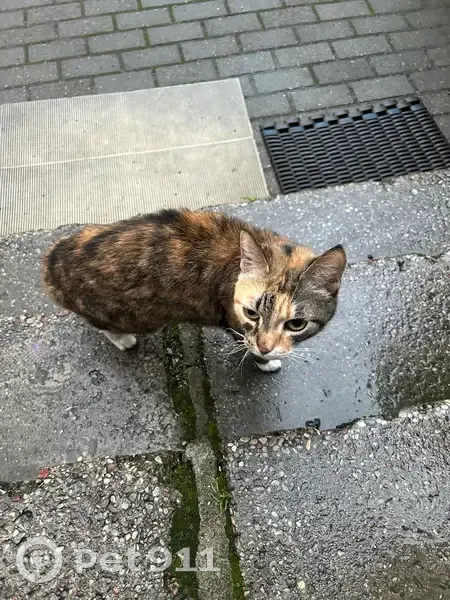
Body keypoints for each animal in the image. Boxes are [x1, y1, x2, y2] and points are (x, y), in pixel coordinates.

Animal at [42, 209, 346, 373]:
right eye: (251, 313)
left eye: (296, 324)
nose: (266, 346)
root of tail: (53, 260)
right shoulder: (234, 321)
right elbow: (246, 343)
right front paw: (265, 361)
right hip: (130, 315)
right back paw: (121, 338)